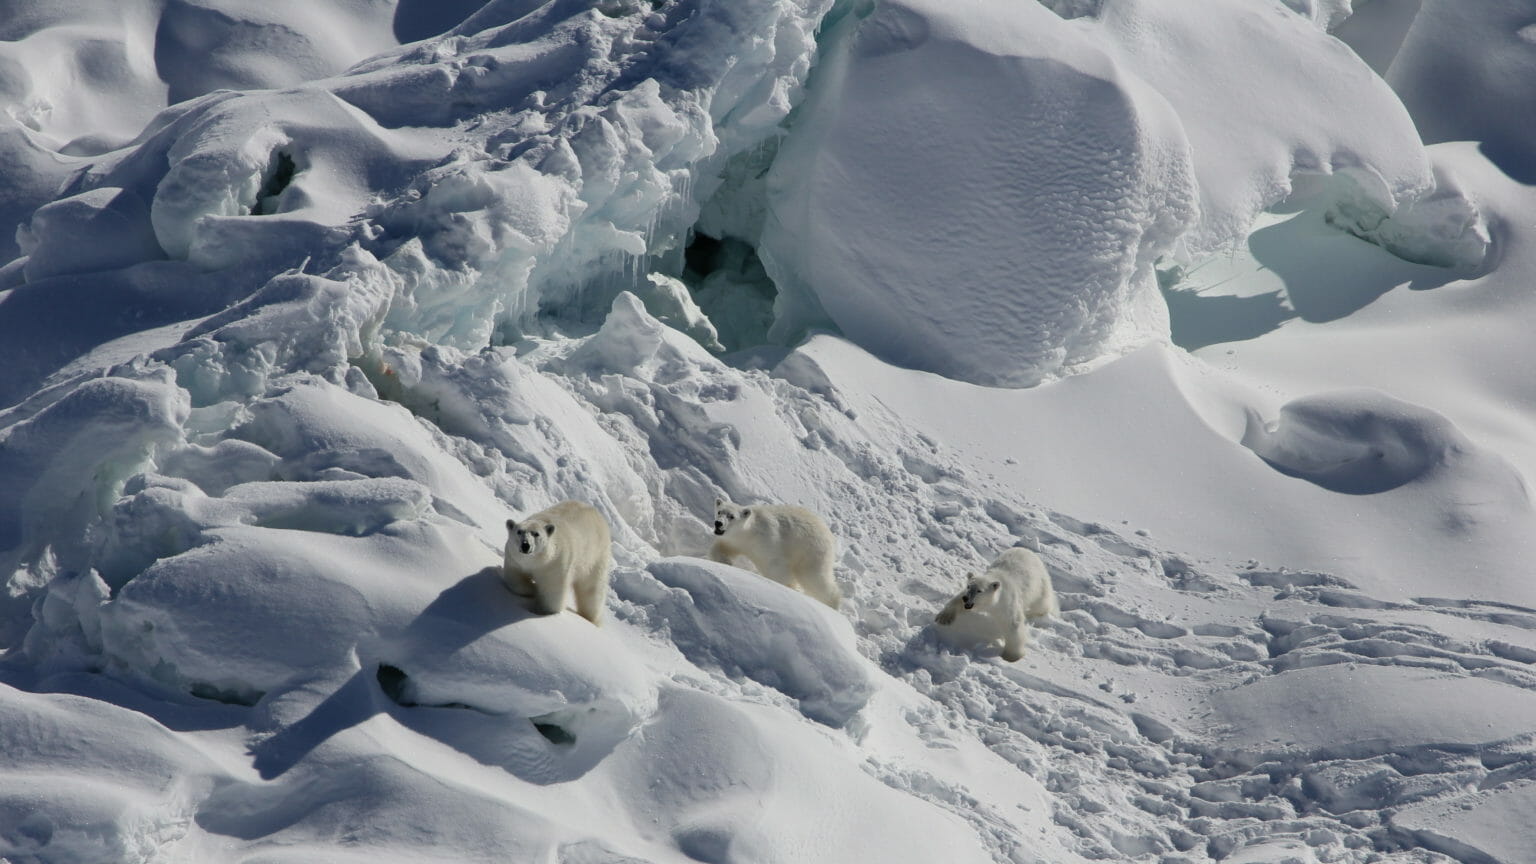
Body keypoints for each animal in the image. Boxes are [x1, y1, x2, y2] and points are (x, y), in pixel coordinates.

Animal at [706, 495, 841, 608]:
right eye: (719, 511)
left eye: (731, 516)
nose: (718, 523)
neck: (750, 533)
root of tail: (829, 535)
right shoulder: (737, 541)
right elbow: (721, 547)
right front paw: (726, 562)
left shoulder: (767, 541)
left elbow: (775, 566)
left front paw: (784, 586)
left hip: (810, 550)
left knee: (814, 577)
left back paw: (832, 604)